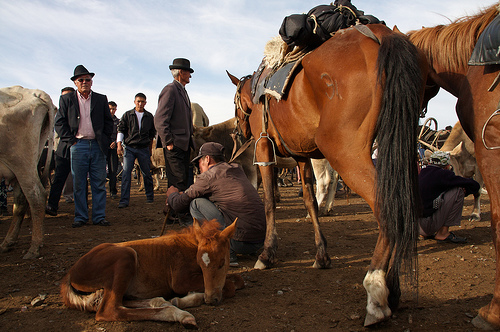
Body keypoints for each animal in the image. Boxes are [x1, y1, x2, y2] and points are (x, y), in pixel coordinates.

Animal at [60, 219, 244, 328]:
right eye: (200, 263)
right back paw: (180, 313)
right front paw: (188, 298)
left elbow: (237, 279)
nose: (211, 300)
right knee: (109, 310)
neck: (190, 245)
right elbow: (229, 285)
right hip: (125, 257)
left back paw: (165, 303)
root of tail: (70, 273)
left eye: (222, 263)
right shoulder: (180, 282)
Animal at [229, 24, 428, 326]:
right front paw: (321, 254)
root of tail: (383, 34)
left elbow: (269, 202)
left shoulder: (264, 149)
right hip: (399, 146)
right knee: (401, 207)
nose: (238, 131)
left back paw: (376, 292)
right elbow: (310, 201)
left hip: (344, 151)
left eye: (234, 102)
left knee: (387, 208)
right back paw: (393, 290)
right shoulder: (301, 156)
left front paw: (267, 254)